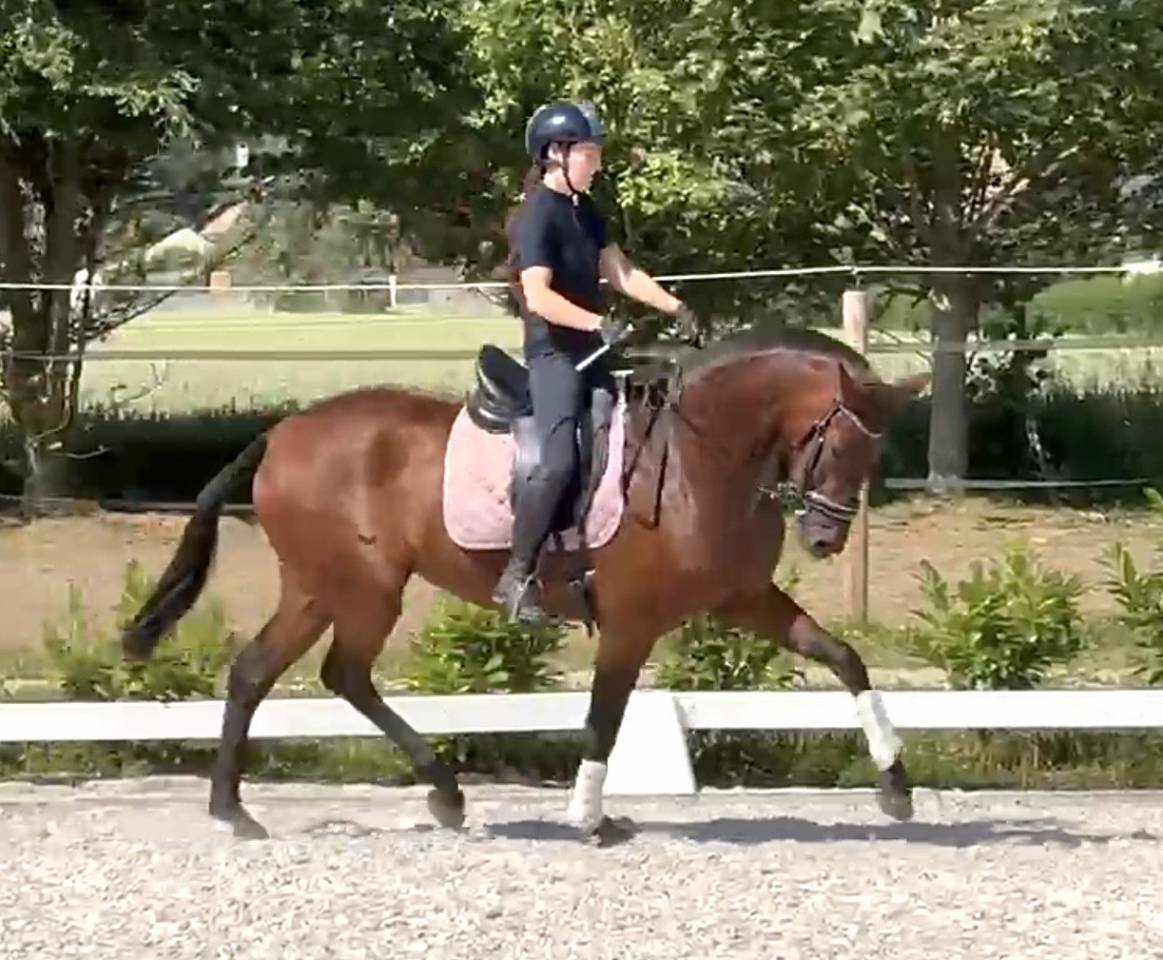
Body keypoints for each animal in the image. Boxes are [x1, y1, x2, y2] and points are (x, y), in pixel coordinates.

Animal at [119, 324, 929, 841]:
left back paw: (247, 810)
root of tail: (282, 433)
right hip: (362, 588)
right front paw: (588, 817)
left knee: (267, 672)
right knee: (334, 673)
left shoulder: (743, 600)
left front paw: (895, 787)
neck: (702, 459)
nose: (824, 539)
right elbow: (603, 718)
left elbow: (844, 659)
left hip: (322, 588)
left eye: (871, 453)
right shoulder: (631, 623)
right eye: (837, 442)